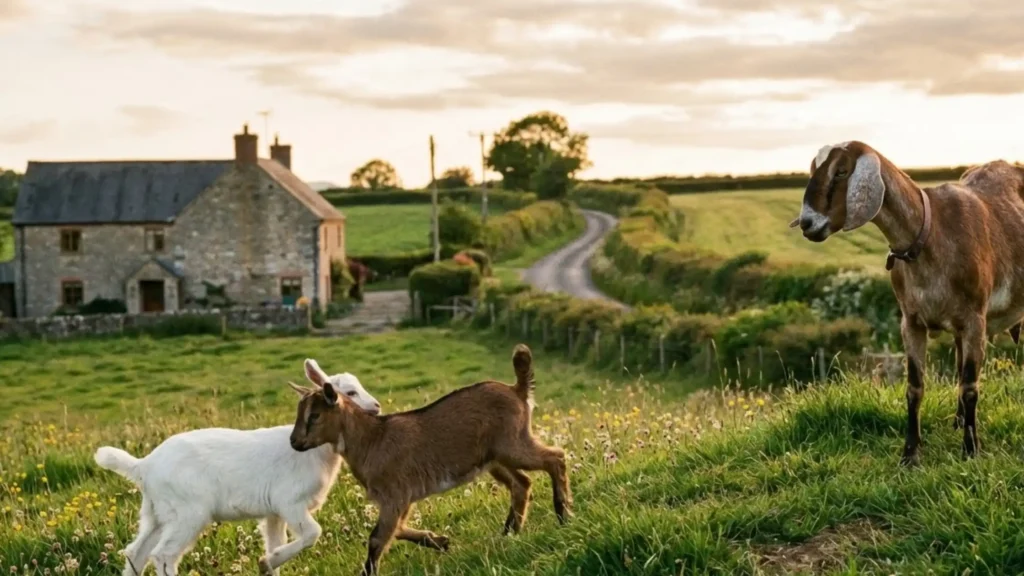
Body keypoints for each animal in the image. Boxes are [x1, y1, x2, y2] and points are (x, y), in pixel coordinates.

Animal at [94, 359, 381, 576]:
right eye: (350, 392)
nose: (377, 407)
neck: (315, 450)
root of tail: (144, 466)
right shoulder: (290, 502)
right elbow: (313, 533)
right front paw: (268, 562)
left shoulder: (274, 513)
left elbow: (275, 545)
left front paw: (270, 563)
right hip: (188, 511)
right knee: (163, 555)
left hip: (157, 512)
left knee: (136, 553)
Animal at [287, 343, 572, 576]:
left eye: (314, 416)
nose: (294, 442)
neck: (371, 439)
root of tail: (517, 390)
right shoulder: (400, 498)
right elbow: (397, 529)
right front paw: (440, 541)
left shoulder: (395, 494)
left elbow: (377, 538)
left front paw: (369, 572)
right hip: (495, 458)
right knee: (522, 483)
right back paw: (509, 533)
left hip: (513, 444)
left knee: (556, 458)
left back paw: (563, 515)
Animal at [790, 140, 1024, 465]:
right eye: (814, 168)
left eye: (841, 171)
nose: (807, 223)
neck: (931, 233)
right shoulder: (911, 321)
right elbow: (915, 388)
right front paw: (910, 455)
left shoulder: (975, 319)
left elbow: (969, 387)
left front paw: (971, 450)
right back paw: (957, 421)